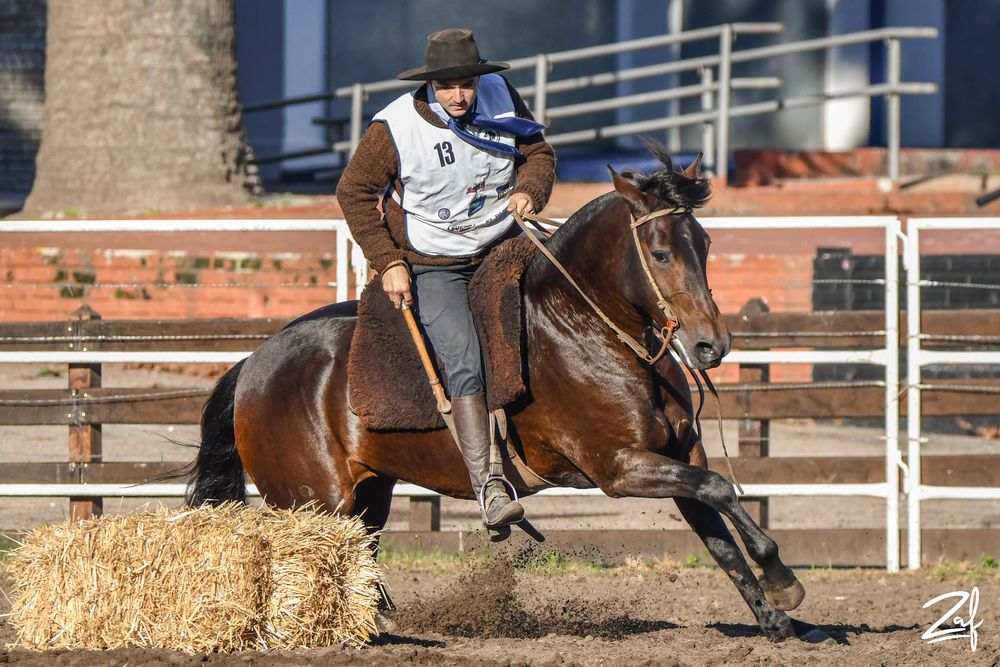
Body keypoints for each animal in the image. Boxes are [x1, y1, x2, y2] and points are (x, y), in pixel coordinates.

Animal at [186, 144, 830, 643]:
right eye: (662, 252)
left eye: (707, 243)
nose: (710, 345)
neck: (581, 328)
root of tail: (253, 364)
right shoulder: (620, 468)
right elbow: (721, 490)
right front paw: (783, 580)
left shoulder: (679, 455)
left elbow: (719, 530)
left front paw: (776, 617)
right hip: (313, 501)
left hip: (369, 495)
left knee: (361, 559)